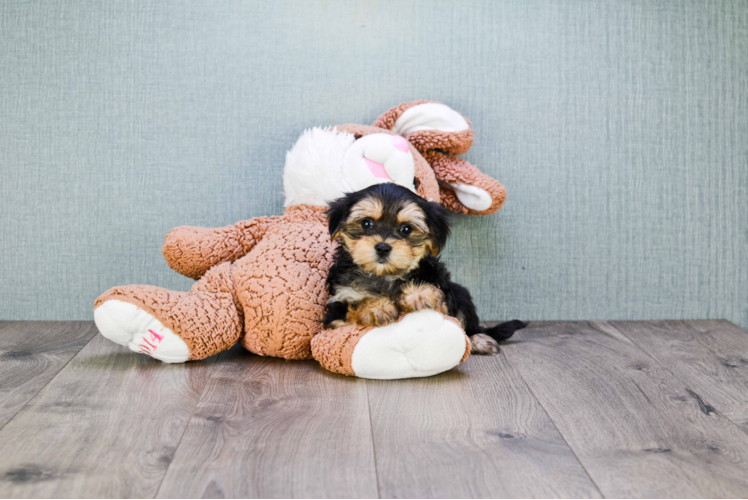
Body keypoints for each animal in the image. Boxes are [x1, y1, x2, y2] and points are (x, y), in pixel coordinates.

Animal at [322, 184, 524, 356]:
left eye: (406, 229)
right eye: (366, 224)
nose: (383, 247)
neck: (385, 276)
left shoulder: (443, 295)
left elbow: (440, 304)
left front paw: (419, 293)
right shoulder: (335, 313)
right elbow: (354, 305)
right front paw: (375, 307)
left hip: (461, 294)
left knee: (467, 324)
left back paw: (479, 340)